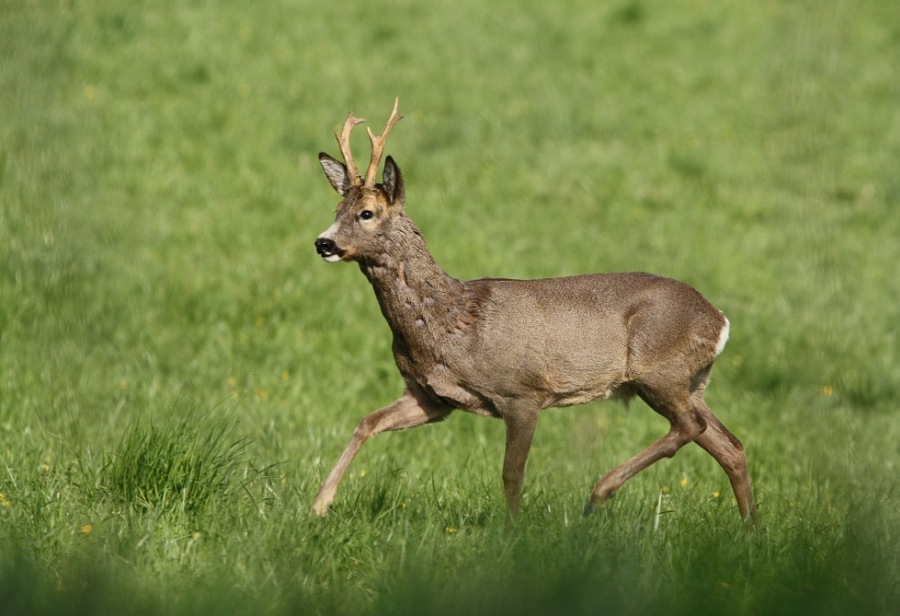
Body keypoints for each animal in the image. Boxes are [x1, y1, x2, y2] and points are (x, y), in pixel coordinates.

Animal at [311, 99, 757, 524]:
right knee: (730, 445)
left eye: (366, 213)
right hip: (691, 381)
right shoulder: (430, 396)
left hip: (660, 370)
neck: (453, 321)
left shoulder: (522, 391)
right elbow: (366, 422)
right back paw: (750, 529)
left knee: (692, 427)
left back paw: (598, 494)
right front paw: (319, 505)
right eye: (336, 211)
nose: (323, 243)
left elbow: (512, 473)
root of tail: (720, 319)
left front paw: (512, 533)